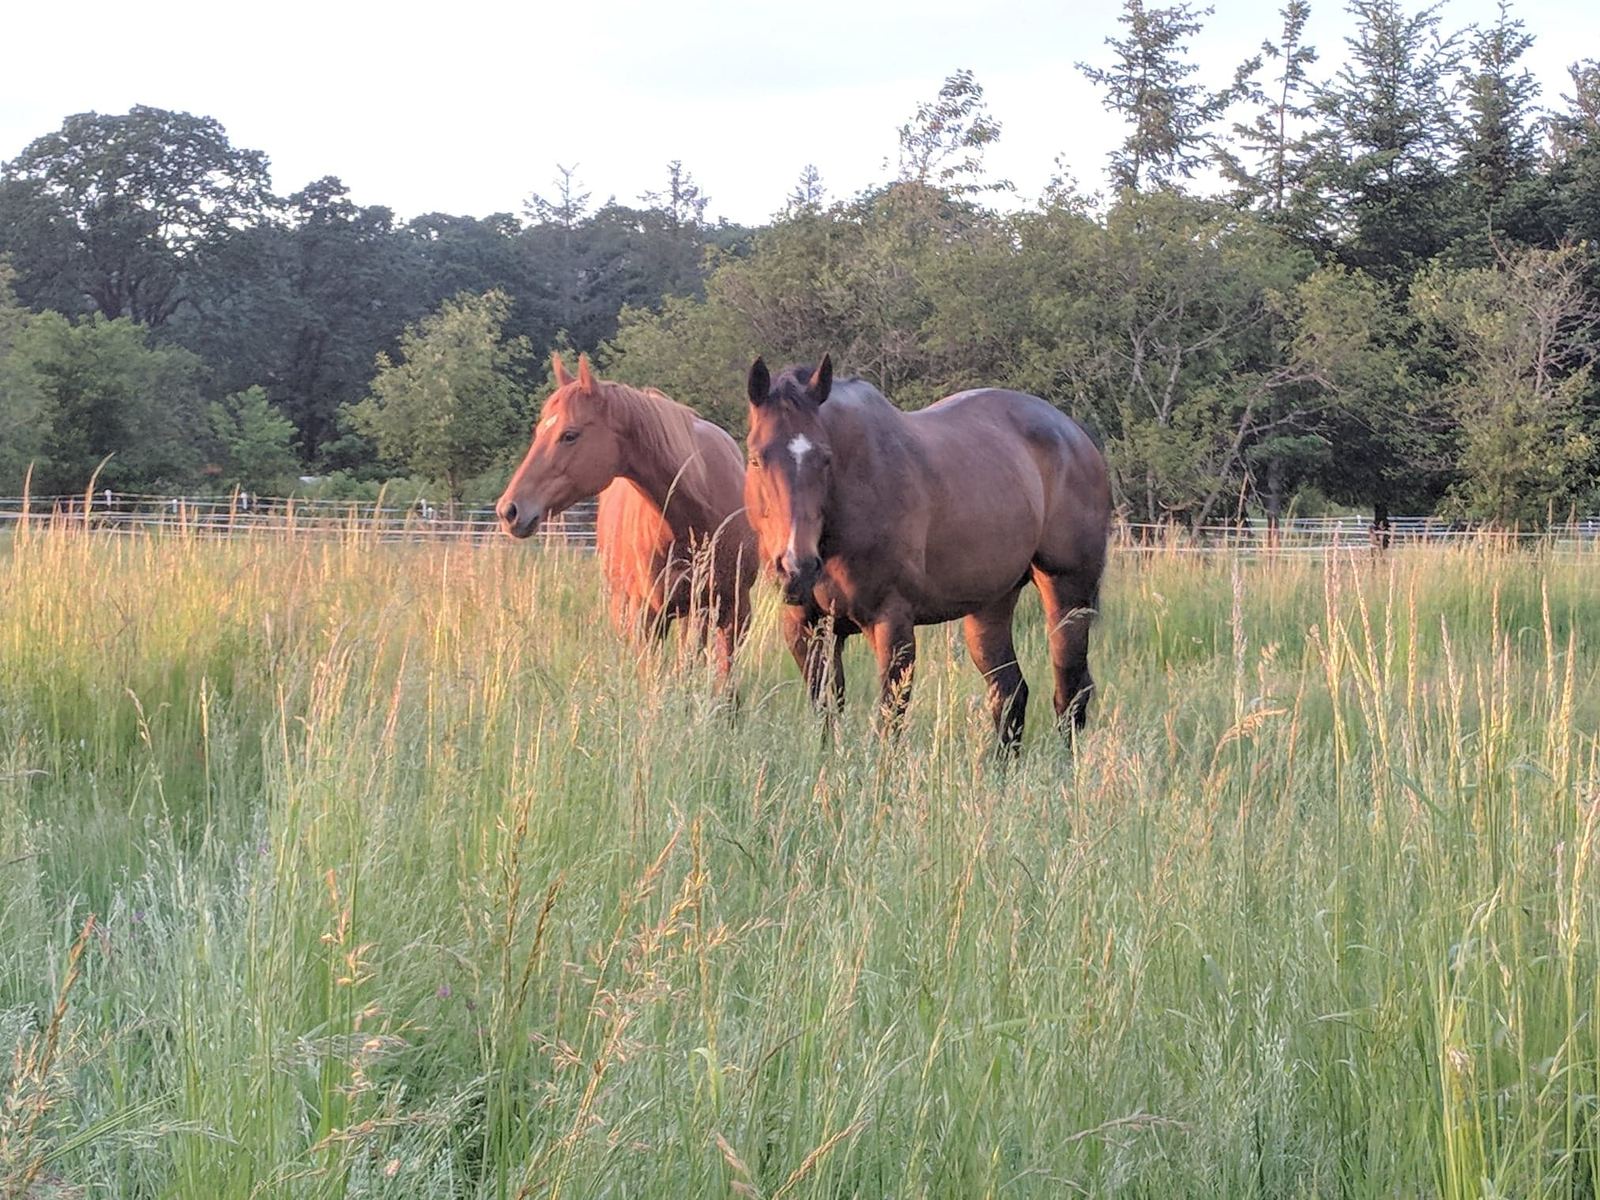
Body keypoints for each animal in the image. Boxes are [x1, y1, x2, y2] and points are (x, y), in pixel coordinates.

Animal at [743, 355, 1111, 751]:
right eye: (756, 458)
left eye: (825, 459)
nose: (796, 567)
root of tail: (1074, 434)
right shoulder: (806, 627)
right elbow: (827, 709)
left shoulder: (892, 622)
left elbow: (889, 719)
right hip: (992, 605)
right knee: (1010, 693)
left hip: (1067, 593)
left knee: (1069, 692)